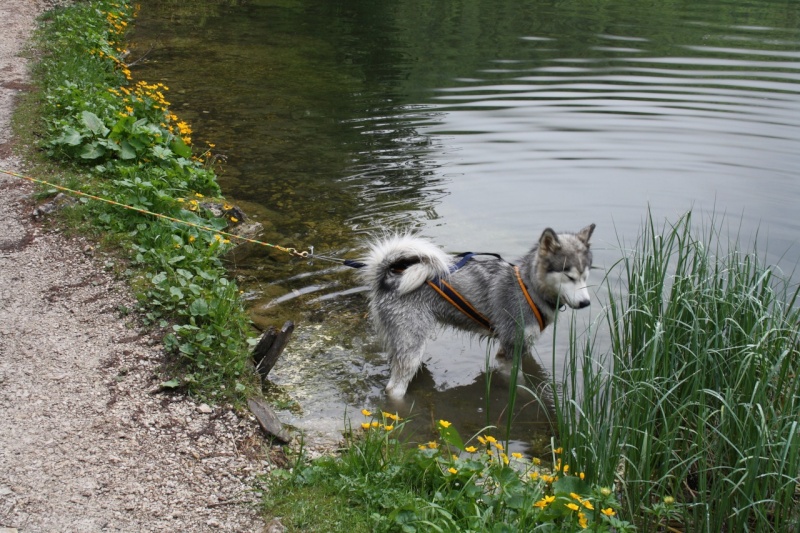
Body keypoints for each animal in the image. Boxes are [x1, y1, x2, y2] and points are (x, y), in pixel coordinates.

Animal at [360, 222, 592, 396]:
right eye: (569, 276)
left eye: (585, 275)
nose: (586, 303)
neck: (528, 287)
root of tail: (388, 278)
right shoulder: (508, 352)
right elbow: (520, 384)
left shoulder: (523, 347)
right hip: (412, 348)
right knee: (394, 389)